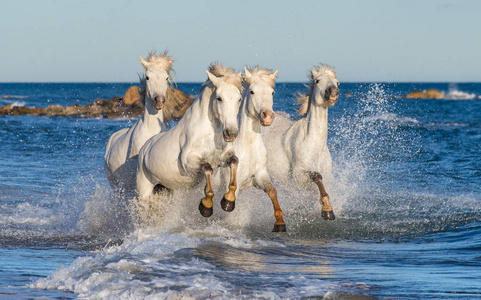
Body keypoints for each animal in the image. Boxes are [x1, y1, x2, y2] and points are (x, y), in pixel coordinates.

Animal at [135, 63, 242, 218]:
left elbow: (234, 162)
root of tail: (144, 149)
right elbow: (207, 168)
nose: (231, 133)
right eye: (219, 98)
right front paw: (206, 205)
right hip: (144, 191)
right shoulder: (188, 161)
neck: (210, 134)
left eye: (239, 98)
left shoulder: (223, 158)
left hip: (165, 189)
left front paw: (228, 201)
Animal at [224, 67, 284, 232]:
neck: (249, 148)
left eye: (272, 92)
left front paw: (280, 222)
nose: (267, 116)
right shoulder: (234, 186)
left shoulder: (260, 177)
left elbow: (272, 191)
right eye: (252, 91)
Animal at [264, 65, 340, 220]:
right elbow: (317, 176)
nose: (333, 92)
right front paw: (327, 210)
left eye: (337, 82)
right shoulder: (298, 175)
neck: (313, 145)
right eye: (317, 81)